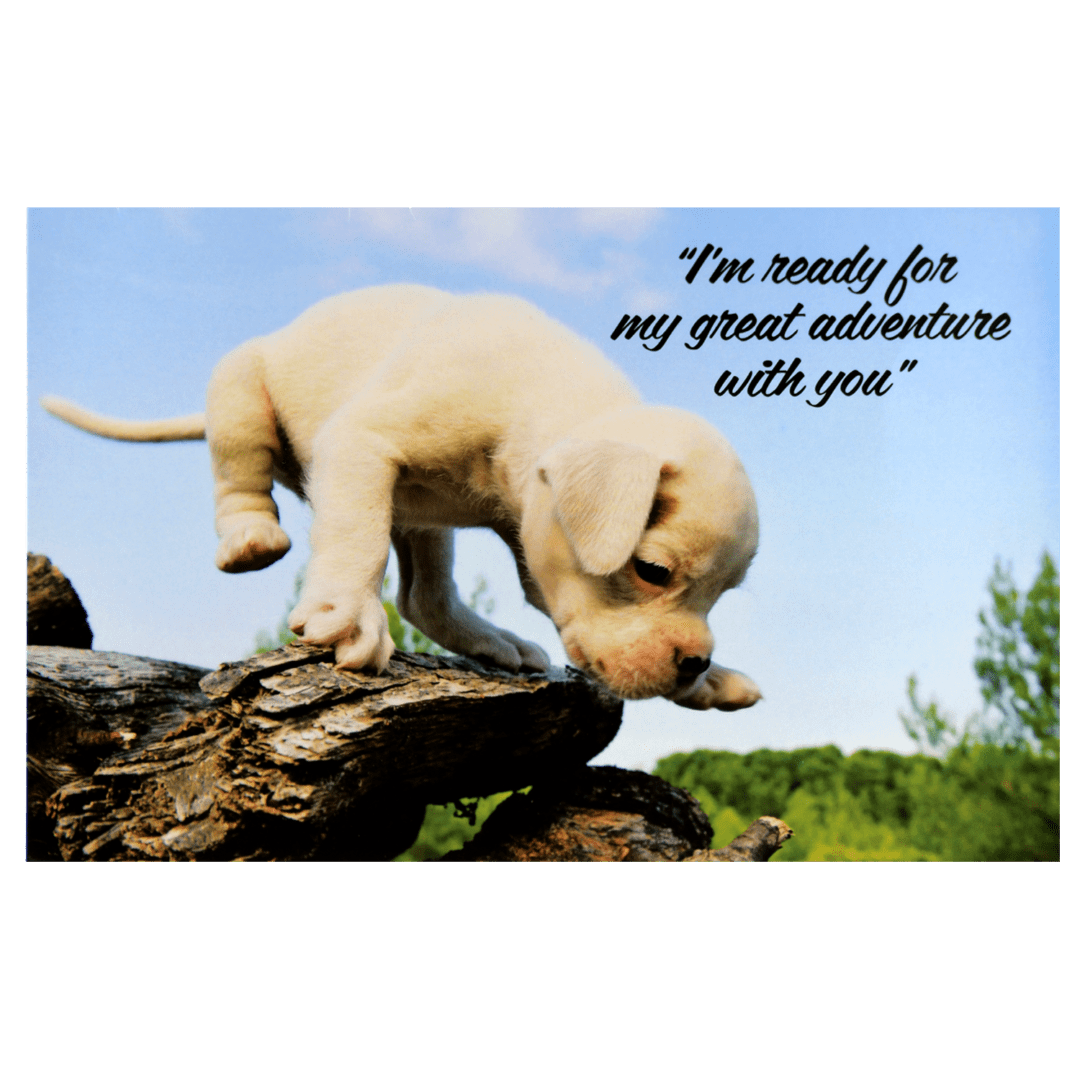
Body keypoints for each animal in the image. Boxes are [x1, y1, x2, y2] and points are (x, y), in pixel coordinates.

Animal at [42, 282, 764, 712]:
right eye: (652, 571)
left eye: (721, 595)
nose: (696, 661)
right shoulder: (361, 443)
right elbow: (356, 538)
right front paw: (349, 617)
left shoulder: (528, 536)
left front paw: (714, 684)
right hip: (242, 385)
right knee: (239, 467)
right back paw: (250, 535)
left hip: (423, 523)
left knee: (425, 595)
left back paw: (493, 643)